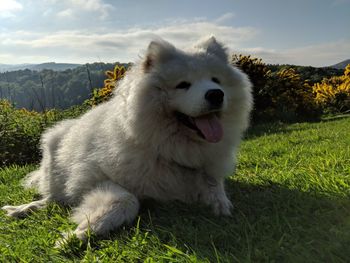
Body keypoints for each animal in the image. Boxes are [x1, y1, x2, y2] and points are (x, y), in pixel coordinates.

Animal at [1, 36, 252, 241]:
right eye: (183, 85)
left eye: (215, 80)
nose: (216, 94)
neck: (165, 149)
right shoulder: (92, 178)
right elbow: (128, 200)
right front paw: (80, 233)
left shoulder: (207, 171)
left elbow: (215, 188)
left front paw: (220, 204)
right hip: (54, 164)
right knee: (50, 200)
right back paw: (20, 209)